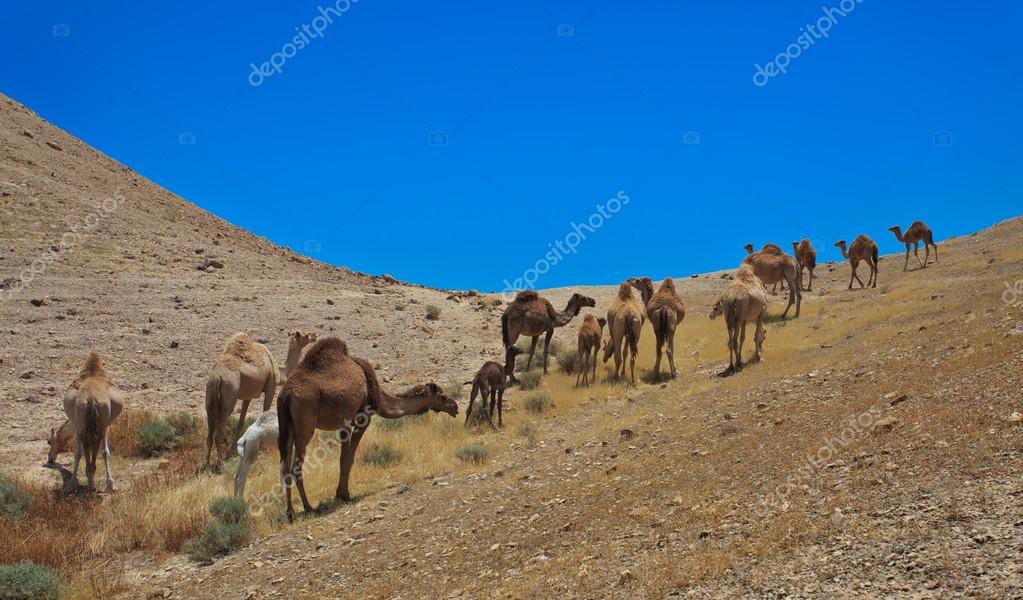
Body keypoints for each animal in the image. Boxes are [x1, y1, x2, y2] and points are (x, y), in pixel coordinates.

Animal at [62, 351, 123, 492]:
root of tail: (91, 398)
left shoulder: (78, 425)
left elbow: (78, 453)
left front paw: (72, 483)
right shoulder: (104, 425)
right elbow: (103, 451)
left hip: (86, 426)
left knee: (88, 449)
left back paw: (90, 482)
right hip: (97, 425)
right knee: (94, 448)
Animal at [202, 333, 280, 470]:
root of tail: (217, 378)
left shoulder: (247, 396)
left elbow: (241, 421)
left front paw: (234, 451)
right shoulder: (271, 387)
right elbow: (265, 413)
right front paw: (264, 448)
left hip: (210, 399)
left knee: (209, 434)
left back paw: (207, 464)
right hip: (228, 400)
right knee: (219, 433)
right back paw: (220, 464)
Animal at [278, 337, 458, 521]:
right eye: (442, 396)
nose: (455, 407)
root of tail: (285, 394)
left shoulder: (344, 423)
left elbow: (343, 457)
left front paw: (340, 493)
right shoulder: (363, 416)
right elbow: (349, 458)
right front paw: (345, 495)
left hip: (287, 428)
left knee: (285, 467)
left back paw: (290, 513)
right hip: (304, 427)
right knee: (296, 467)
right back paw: (308, 508)